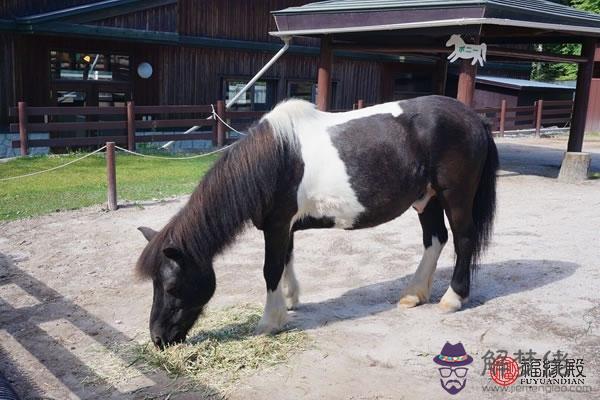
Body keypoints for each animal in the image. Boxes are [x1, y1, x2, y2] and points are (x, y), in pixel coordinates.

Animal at [136, 94, 496, 346]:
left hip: (454, 196)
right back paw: (414, 295)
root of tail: (474, 119)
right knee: (435, 240)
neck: (275, 158)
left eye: (171, 286)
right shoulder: (283, 226)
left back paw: (452, 299)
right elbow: (286, 260)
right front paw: (291, 300)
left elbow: (270, 269)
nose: (158, 339)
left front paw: (270, 322)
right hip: (427, 199)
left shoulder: (277, 225)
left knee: (462, 240)